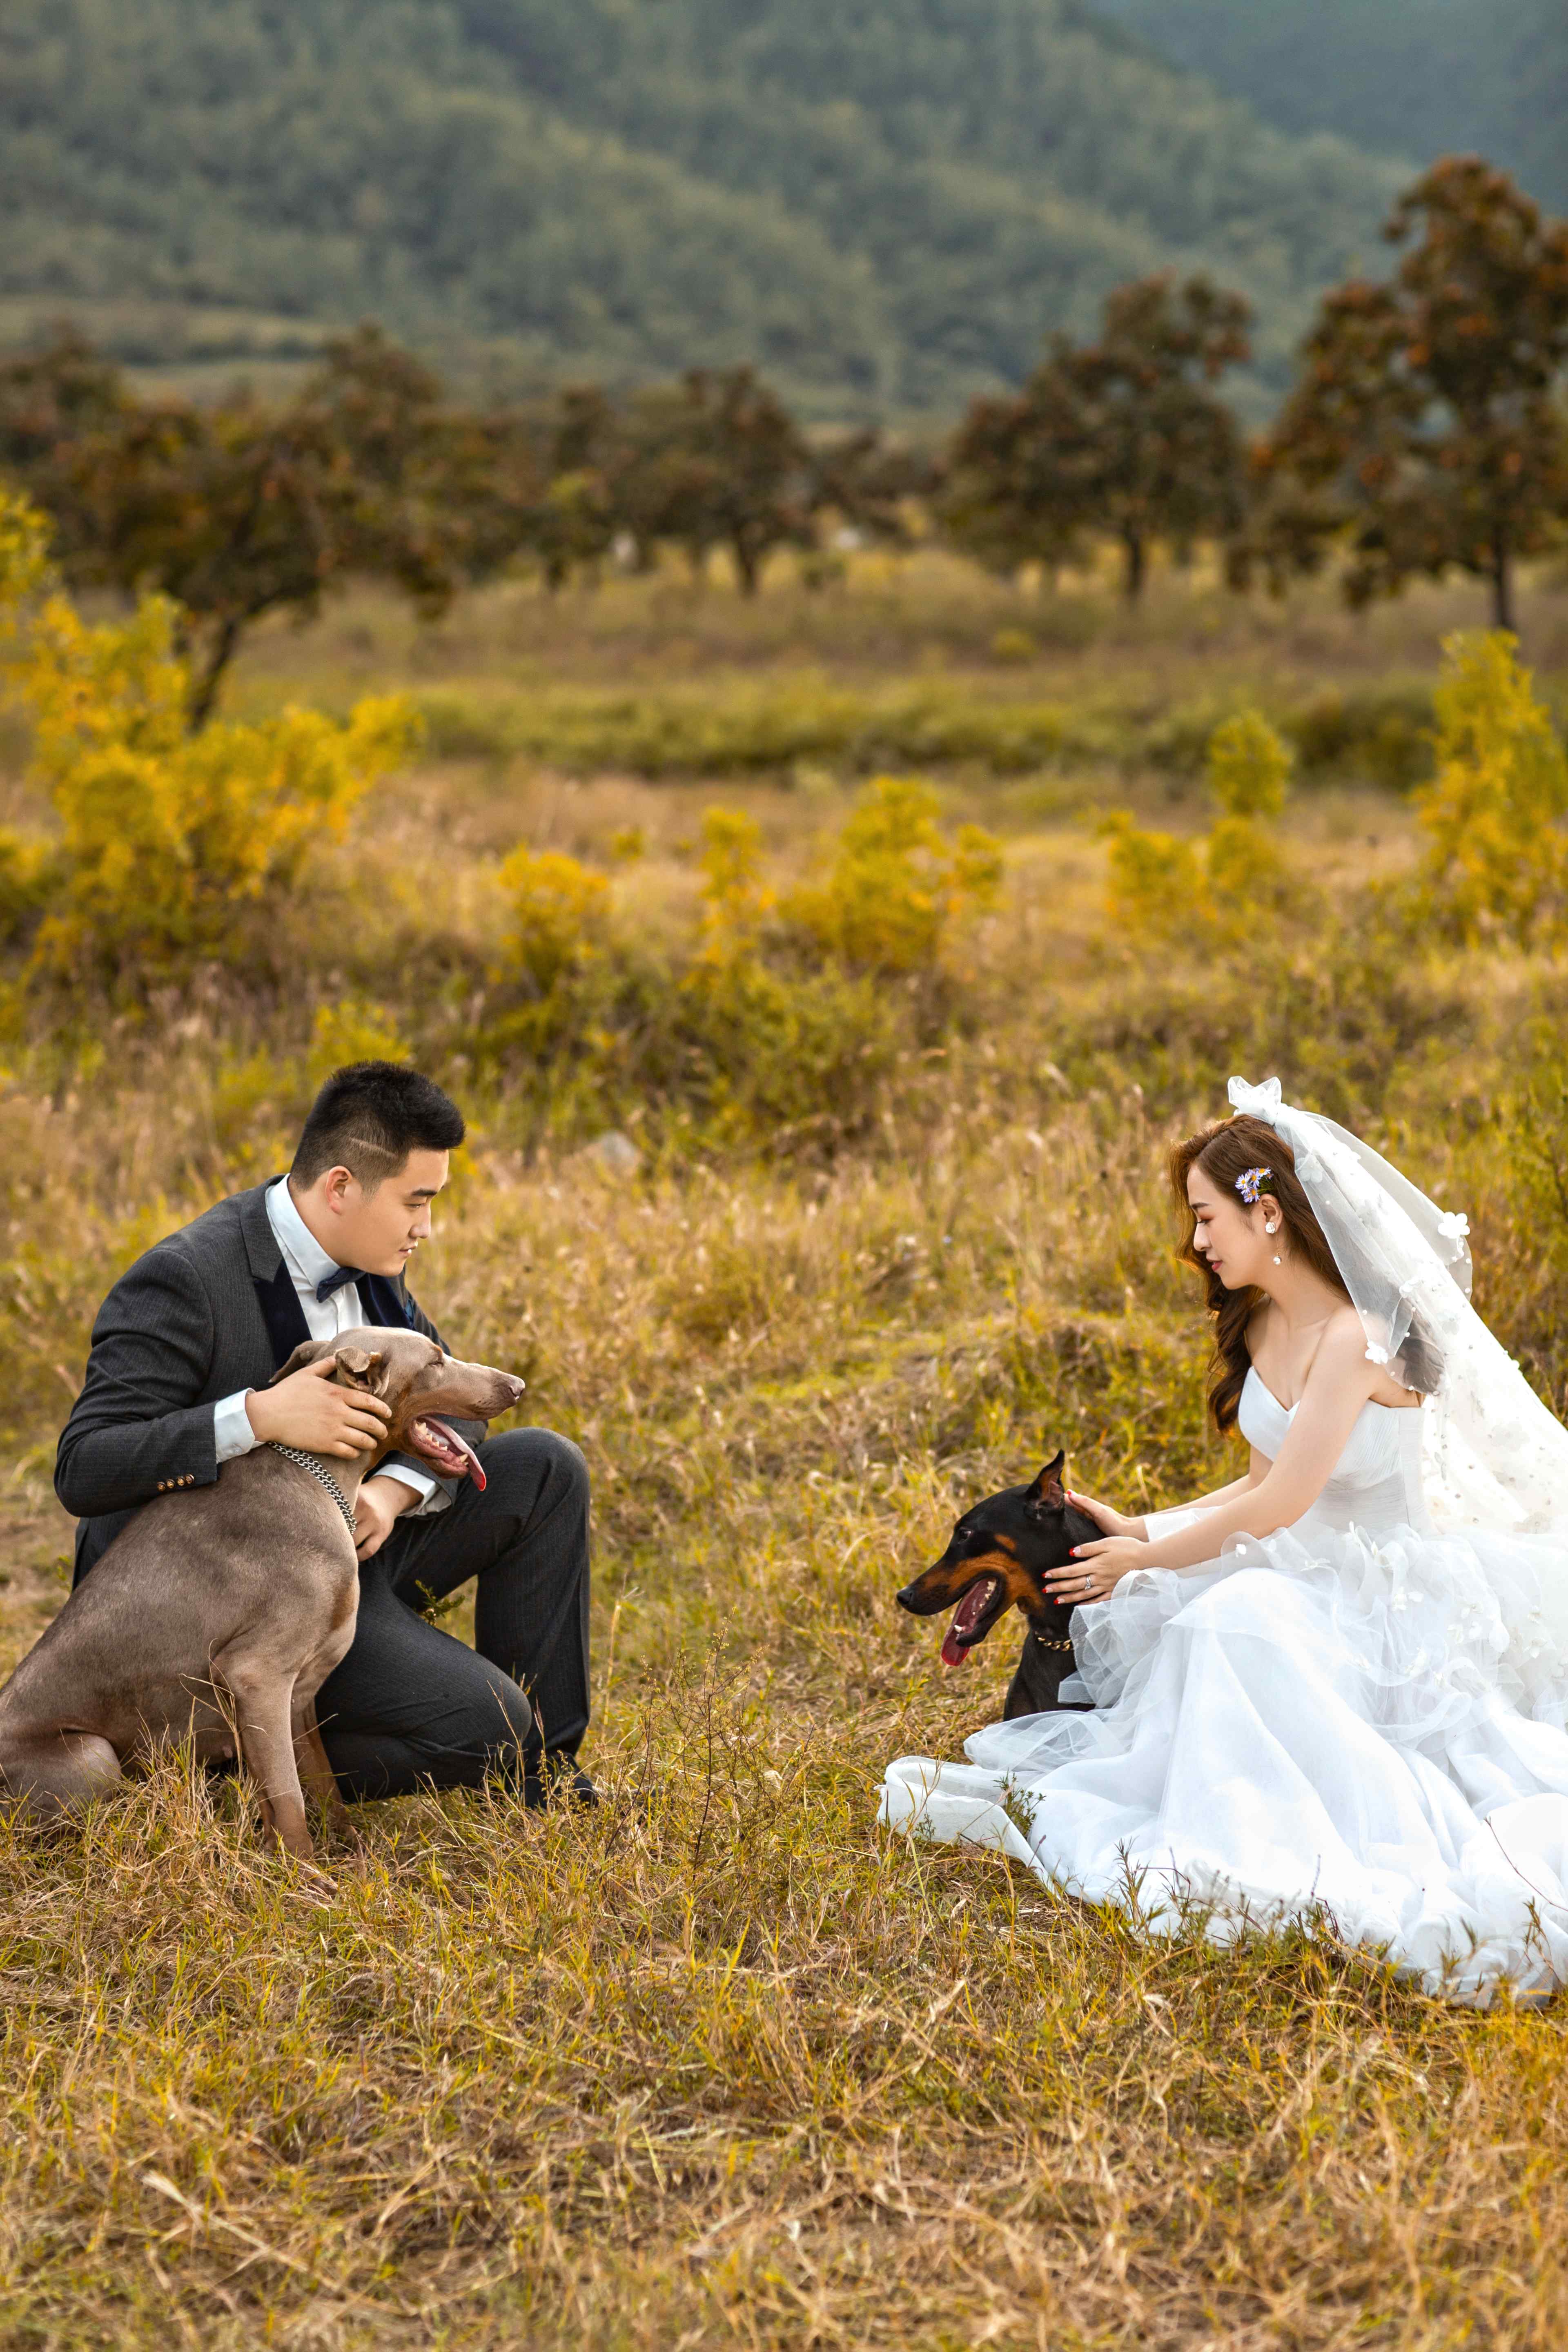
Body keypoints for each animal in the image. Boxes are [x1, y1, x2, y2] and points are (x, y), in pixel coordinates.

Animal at [0, 1326, 526, 1853]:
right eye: (435, 1363)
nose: (518, 1385)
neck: (315, 1473)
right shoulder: (258, 1676)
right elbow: (291, 1799)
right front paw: (304, 1872)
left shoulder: (300, 1695)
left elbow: (321, 1782)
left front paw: (346, 1854)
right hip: (92, 1756)